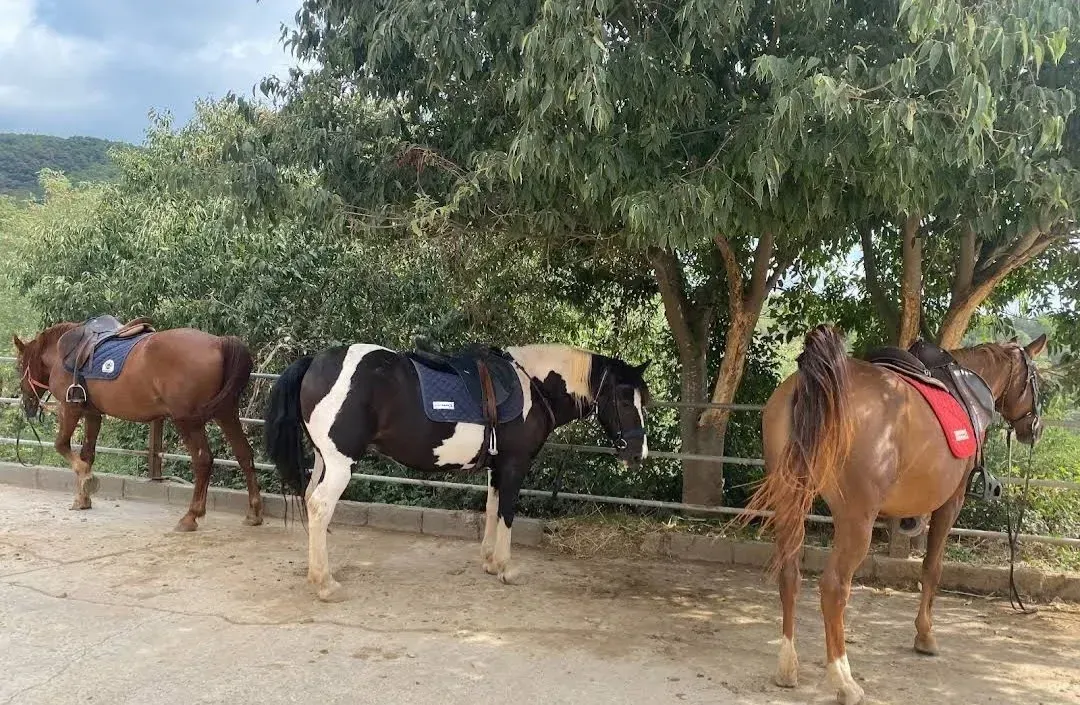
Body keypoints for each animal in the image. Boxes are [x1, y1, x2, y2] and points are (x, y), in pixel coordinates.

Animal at [12, 318, 264, 531]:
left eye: (19, 365)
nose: (26, 402)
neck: (65, 354)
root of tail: (219, 342)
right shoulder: (93, 414)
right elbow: (87, 454)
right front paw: (83, 498)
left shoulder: (70, 408)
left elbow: (62, 446)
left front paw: (87, 480)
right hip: (226, 413)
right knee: (244, 453)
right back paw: (253, 513)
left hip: (187, 421)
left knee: (203, 460)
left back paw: (191, 516)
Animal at [263, 342, 651, 601]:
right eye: (623, 398)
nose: (639, 453)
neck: (533, 388)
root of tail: (314, 362)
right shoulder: (515, 464)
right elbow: (508, 512)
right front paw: (506, 568)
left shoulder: (498, 465)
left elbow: (492, 508)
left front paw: (489, 562)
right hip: (342, 463)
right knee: (320, 507)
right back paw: (326, 584)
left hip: (324, 460)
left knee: (310, 501)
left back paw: (316, 575)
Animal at [742, 325, 1044, 705]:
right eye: (1036, 380)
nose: (1035, 428)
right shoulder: (951, 503)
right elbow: (932, 568)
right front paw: (925, 636)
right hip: (856, 519)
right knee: (833, 588)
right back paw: (843, 680)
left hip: (791, 501)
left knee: (789, 576)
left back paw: (787, 666)